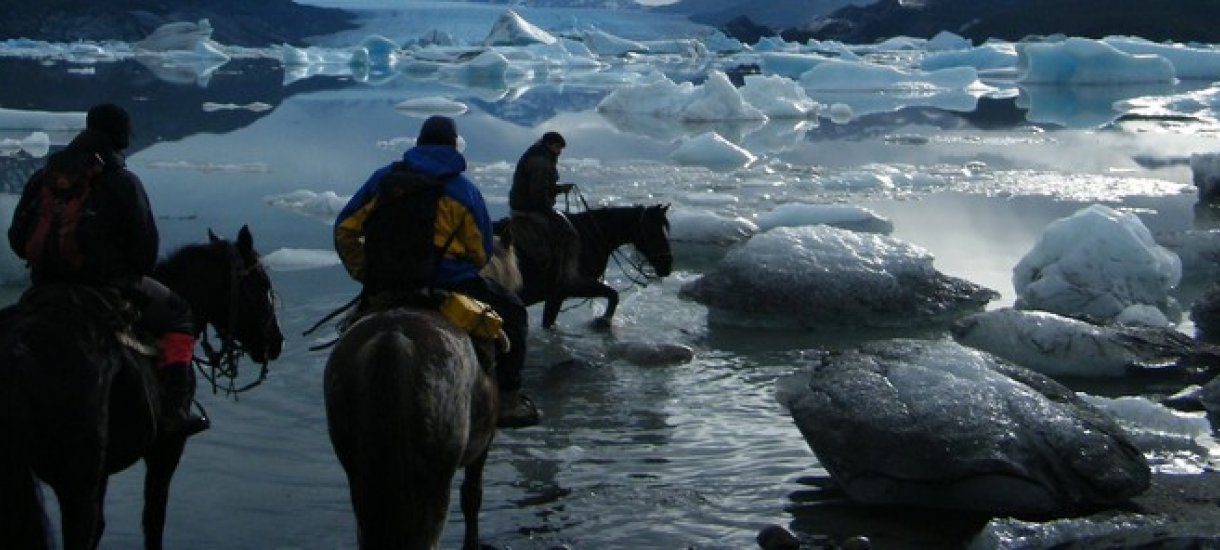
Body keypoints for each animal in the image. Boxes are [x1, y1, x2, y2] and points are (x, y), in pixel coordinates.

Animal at [0, 225, 283, 550]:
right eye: (261, 283)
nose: (276, 341)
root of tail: (18, 345)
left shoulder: (104, 471)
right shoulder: (166, 449)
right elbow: (153, 520)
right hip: (77, 483)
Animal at [497, 204, 678, 329]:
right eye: (654, 232)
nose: (667, 265)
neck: (590, 235)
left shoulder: (556, 296)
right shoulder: (571, 288)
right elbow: (613, 295)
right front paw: (604, 321)